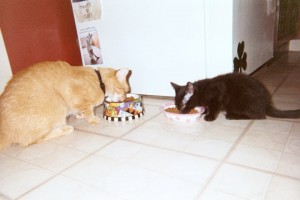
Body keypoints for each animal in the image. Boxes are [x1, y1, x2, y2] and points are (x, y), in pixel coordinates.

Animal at [0, 61, 129, 149]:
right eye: (124, 91)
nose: (124, 98)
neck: (99, 82)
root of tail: (5, 130)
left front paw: (80, 115)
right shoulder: (81, 101)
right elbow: (88, 111)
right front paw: (93, 119)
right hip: (58, 106)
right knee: (32, 140)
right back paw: (66, 128)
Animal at [171, 73, 300, 121]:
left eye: (184, 104)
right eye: (177, 106)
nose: (181, 112)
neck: (202, 90)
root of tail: (267, 102)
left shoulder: (218, 92)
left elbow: (214, 107)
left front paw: (210, 117)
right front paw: (205, 111)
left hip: (242, 101)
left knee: (259, 116)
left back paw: (232, 115)